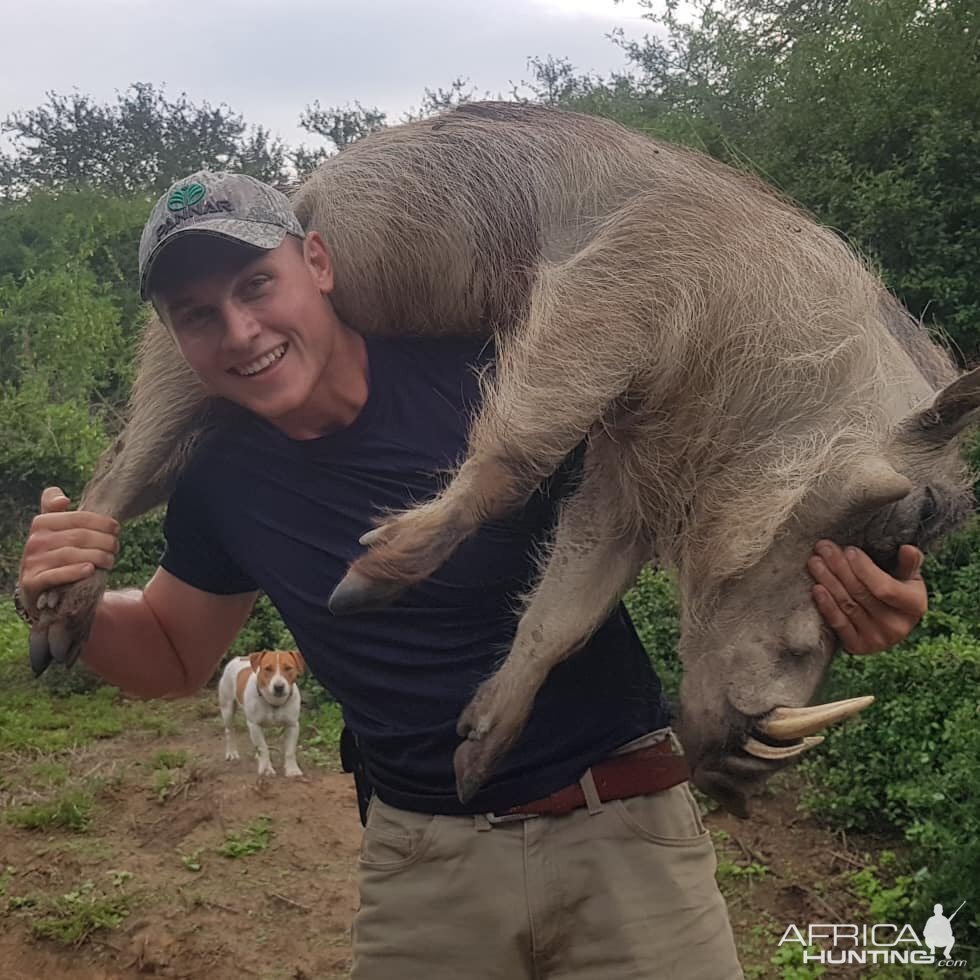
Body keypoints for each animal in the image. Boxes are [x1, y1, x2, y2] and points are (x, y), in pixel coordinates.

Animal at [219, 652, 304, 780]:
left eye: (288, 668)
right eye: (267, 669)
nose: (279, 687)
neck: (274, 702)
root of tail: (238, 658)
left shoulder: (292, 725)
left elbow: (290, 750)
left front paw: (292, 770)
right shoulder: (254, 725)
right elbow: (263, 748)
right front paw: (266, 769)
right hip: (227, 709)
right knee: (230, 731)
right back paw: (232, 752)